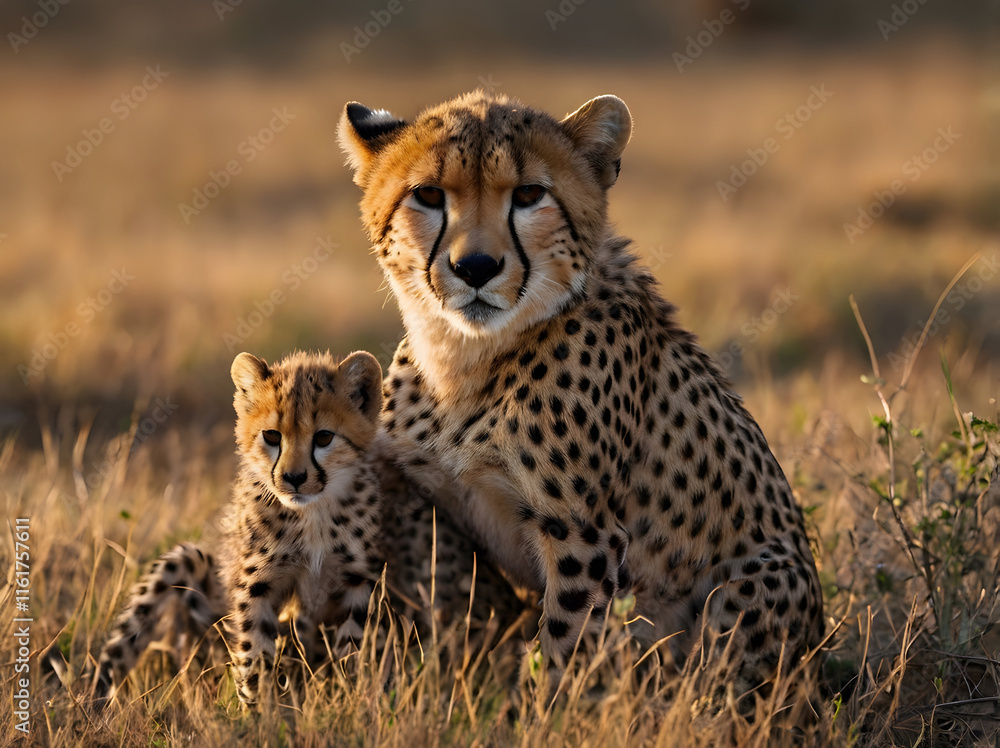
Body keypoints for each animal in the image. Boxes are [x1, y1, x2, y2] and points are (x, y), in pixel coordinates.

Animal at [337, 90, 825, 693]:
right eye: (428, 194)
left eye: (529, 195)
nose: (475, 267)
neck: (464, 358)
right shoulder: (424, 498)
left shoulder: (584, 533)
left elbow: (563, 644)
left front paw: (536, 708)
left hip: (763, 570)